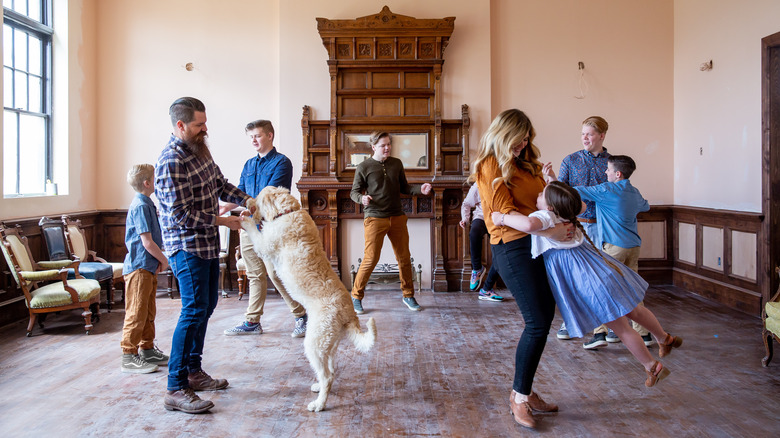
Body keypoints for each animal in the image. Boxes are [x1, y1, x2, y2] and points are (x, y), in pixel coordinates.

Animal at [242, 186, 380, 412]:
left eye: (259, 197)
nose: (247, 202)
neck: (287, 212)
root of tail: (349, 314)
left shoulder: (264, 245)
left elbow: (254, 231)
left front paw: (244, 219)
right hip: (328, 345)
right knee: (330, 370)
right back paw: (317, 388)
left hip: (314, 343)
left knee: (328, 377)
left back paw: (319, 404)